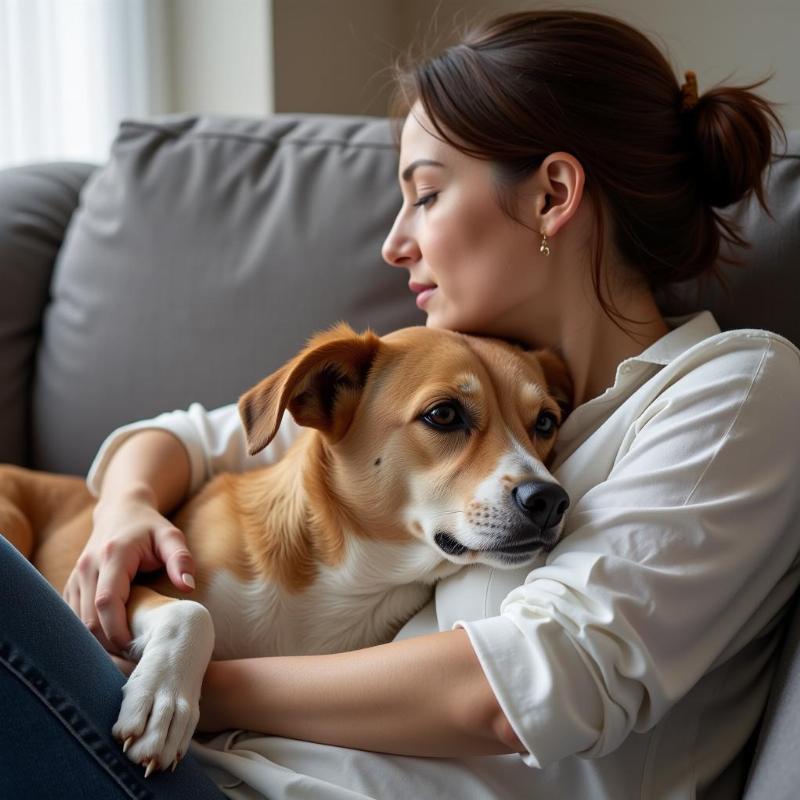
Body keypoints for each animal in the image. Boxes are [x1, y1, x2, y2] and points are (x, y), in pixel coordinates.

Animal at [1, 318, 576, 776]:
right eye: (444, 414)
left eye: (545, 421)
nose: (549, 500)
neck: (346, 576)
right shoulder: (126, 589)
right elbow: (191, 612)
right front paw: (164, 705)